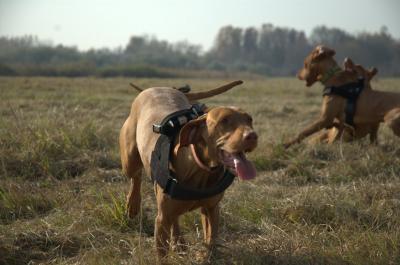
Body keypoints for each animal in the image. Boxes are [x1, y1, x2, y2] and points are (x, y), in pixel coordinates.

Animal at [119, 80, 258, 262]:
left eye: (249, 119)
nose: (252, 136)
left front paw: (204, 256)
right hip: (129, 159)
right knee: (135, 177)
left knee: (175, 218)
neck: (200, 170)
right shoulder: (161, 220)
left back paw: (179, 243)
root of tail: (158, 88)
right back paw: (133, 204)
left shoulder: (211, 209)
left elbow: (211, 242)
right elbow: (162, 256)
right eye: (224, 121)